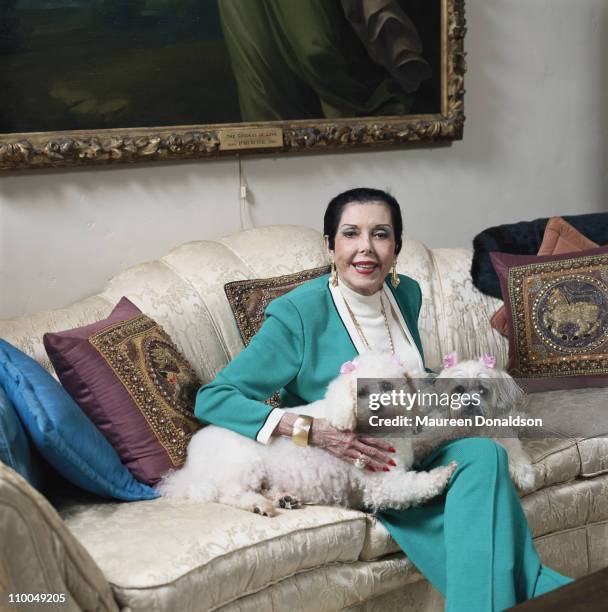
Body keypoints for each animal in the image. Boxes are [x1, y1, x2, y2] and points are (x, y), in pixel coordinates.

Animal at [157, 354, 456, 516]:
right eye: (360, 392)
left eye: (386, 386)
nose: (376, 407)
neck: (385, 430)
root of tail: (191, 463)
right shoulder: (381, 484)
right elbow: (412, 485)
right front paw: (444, 473)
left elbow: (428, 438)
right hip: (242, 465)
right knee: (230, 494)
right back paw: (259, 505)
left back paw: (283, 498)